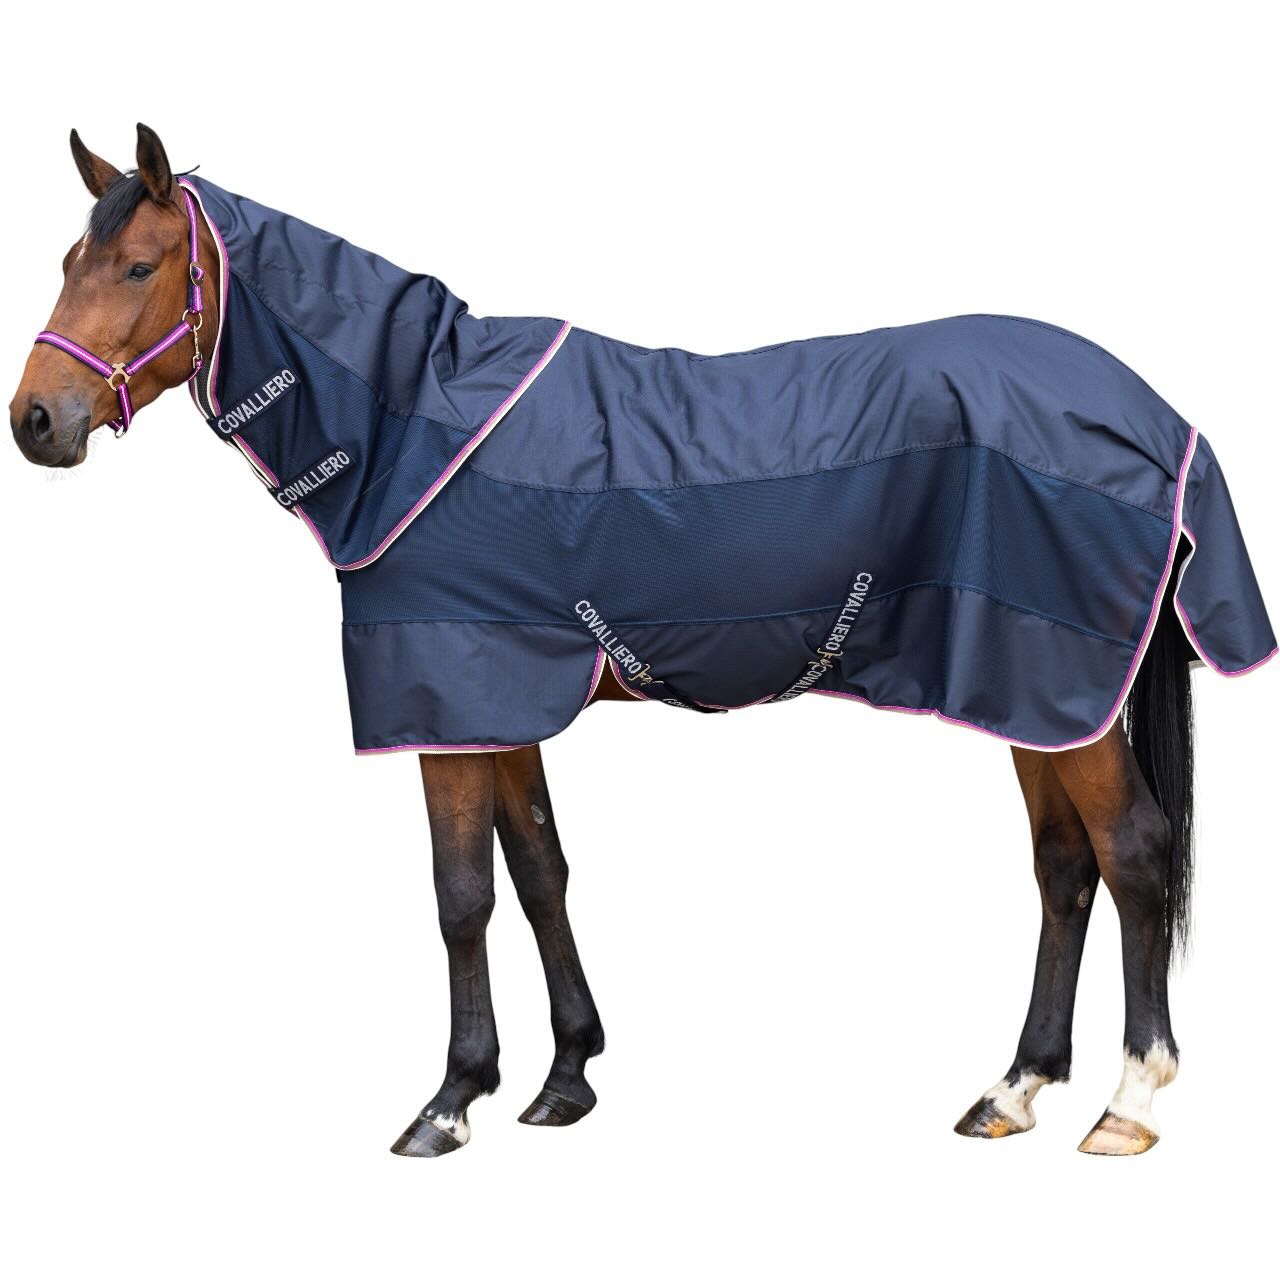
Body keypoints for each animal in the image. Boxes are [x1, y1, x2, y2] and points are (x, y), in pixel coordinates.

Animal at [10, 124, 1275, 1159]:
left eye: (138, 267)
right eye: (68, 262)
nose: (35, 420)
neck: (416, 431)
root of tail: (1159, 420)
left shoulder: (447, 701)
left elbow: (460, 894)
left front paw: (448, 1100)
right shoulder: (499, 701)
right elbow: (539, 873)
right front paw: (564, 1075)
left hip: (1061, 688)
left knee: (1134, 854)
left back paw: (1126, 1101)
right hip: (1034, 692)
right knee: (1064, 867)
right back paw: (1011, 1087)